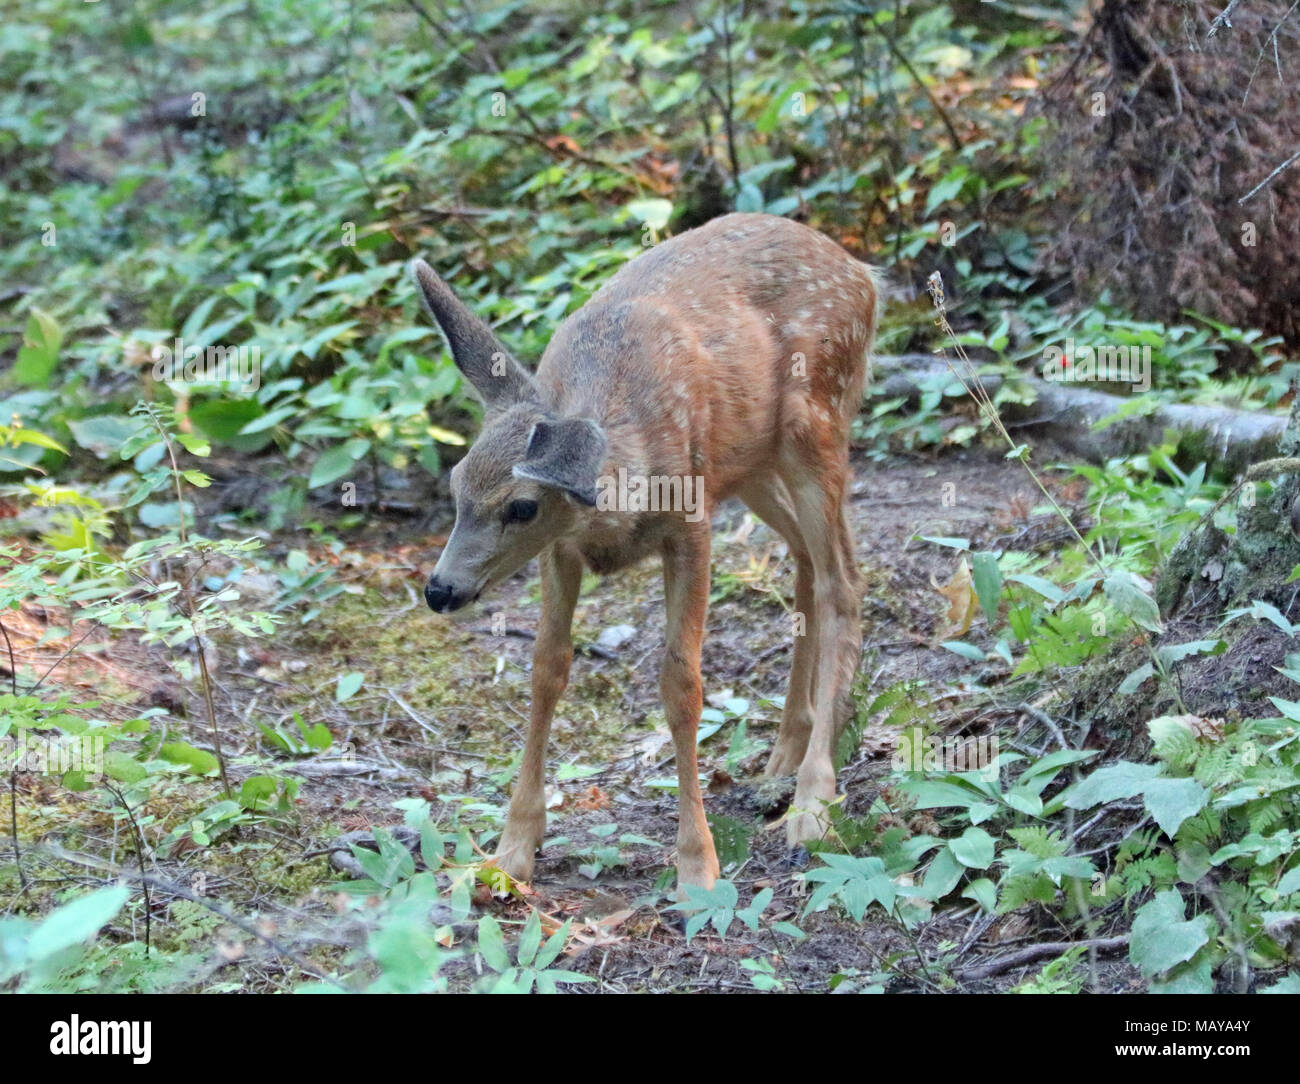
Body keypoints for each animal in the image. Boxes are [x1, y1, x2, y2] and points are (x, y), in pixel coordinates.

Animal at [412, 212, 880, 893]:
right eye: (455, 484)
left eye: (521, 506)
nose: (440, 589)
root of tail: (863, 273)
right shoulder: (563, 549)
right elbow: (547, 668)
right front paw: (510, 849)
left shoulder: (690, 524)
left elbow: (681, 683)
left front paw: (697, 865)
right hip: (750, 463)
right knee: (805, 559)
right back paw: (785, 755)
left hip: (816, 421)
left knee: (842, 580)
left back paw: (813, 800)